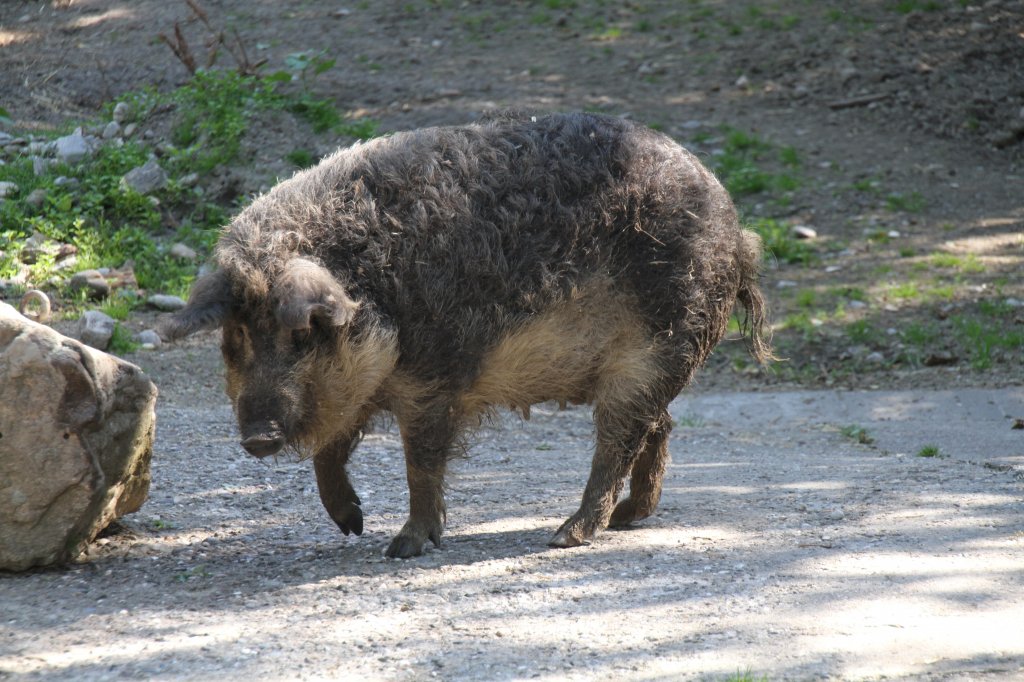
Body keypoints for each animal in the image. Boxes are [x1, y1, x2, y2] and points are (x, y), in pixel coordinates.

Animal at [159, 111, 770, 557]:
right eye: (235, 337)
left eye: (300, 335)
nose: (258, 436)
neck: (378, 288)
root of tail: (739, 234)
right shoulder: (359, 389)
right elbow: (329, 452)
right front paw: (353, 526)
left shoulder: (437, 377)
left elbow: (421, 462)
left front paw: (402, 548)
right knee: (658, 428)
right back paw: (626, 519)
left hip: (653, 352)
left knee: (620, 440)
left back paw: (566, 535)